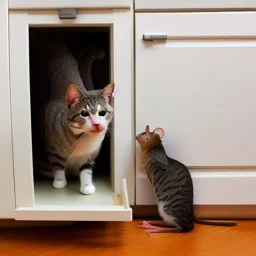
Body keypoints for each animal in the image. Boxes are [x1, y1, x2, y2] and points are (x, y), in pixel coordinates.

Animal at [42, 38, 114, 194]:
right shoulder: (53, 150)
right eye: (84, 114)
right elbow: (58, 166)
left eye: (102, 113)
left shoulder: (90, 156)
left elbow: (86, 171)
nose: (96, 124)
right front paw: (59, 182)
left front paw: (87, 187)